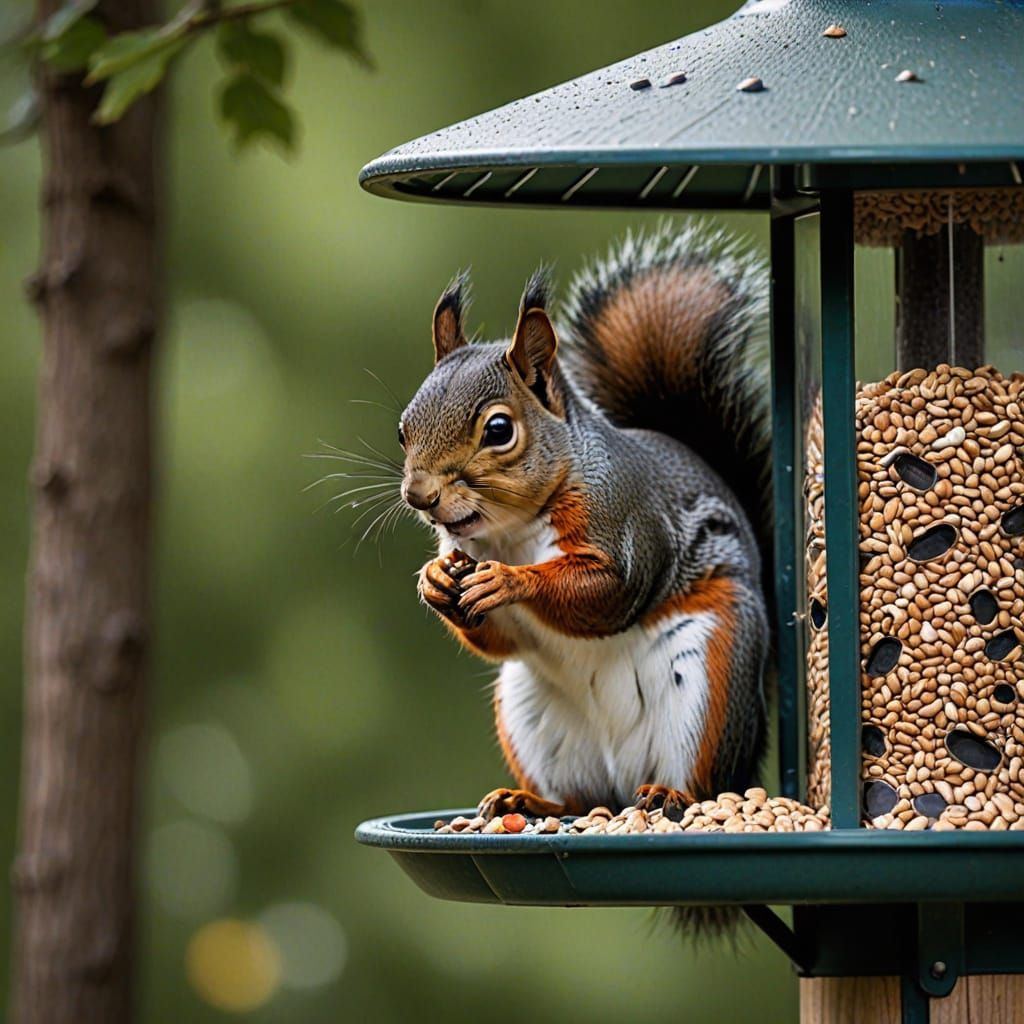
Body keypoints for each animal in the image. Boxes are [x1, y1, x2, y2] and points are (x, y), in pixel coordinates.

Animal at [399, 222, 771, 824]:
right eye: (403, 429)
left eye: (499, 430)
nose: (420, 496)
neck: (510, 531)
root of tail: (623, 786)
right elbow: (497, 639)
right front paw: (434, 580)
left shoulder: (626, 524)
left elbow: (606, 593)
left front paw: (510, 580)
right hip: (528, 711)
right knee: (579, 798)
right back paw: (527, 800)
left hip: (709, 678)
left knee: (708, 782)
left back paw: (670, 795)